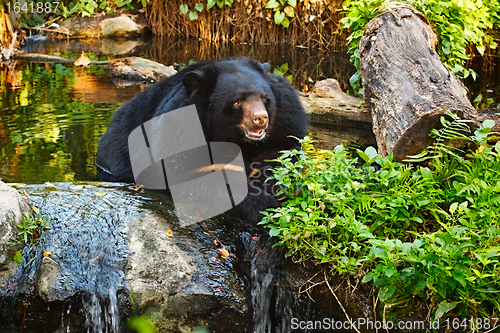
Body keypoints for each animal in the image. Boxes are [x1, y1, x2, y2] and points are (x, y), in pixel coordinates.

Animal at [95, 57, 308, 223]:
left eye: (264, 98)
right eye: (237, 101)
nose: (261, 119)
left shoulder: (285, 119)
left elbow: (284, 151)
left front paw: (271, 185)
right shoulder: (179, 130)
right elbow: (189, 175)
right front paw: (260, 204)